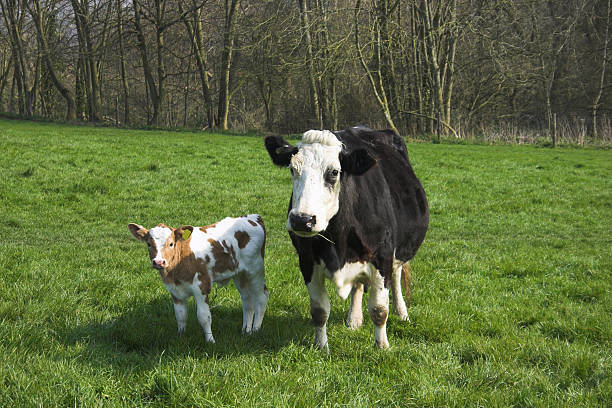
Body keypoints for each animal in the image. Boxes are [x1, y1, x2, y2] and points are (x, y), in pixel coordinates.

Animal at [128, 215, 268, 342]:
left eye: (171, 244)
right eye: (148, 244)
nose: (158, 262)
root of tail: (252, 217)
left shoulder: (202, 286)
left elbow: (204, 317)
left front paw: (210, 341)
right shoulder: (174, 291)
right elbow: (180, 315)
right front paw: (181, 336)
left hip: (256, 269)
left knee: (262, 296)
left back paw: (256, 330)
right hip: (240, 273)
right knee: (247, 300)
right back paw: (246, 330)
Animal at [266, 126, 428, 350]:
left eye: (334, 172)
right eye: (292, 169)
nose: (302, 220)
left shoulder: (383, 257)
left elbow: (379, 309)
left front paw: (382, 346)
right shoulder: (306, 261)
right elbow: (319, 311)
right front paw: (321, 347)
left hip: (398, 252)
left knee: (396, 276)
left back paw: (402, 312)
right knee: (358, 286)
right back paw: (354, 319)